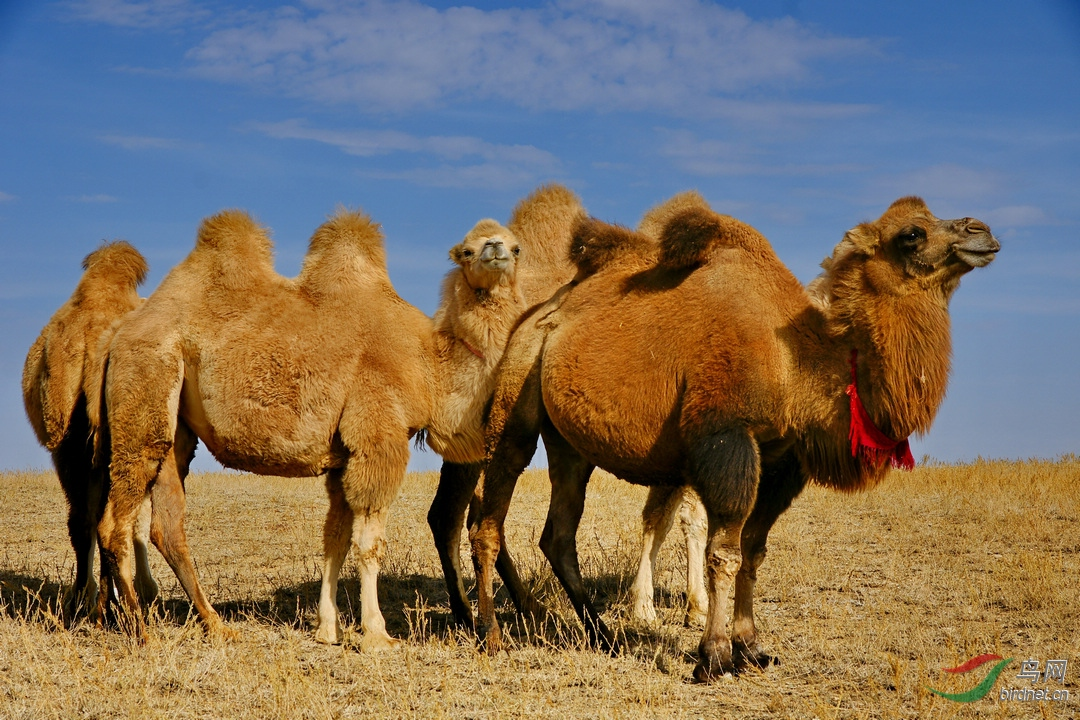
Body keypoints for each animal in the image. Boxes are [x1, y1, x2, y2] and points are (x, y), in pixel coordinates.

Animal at [21, 241, 159, 621]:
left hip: (65, 442)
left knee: (83, 521)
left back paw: (85, 602)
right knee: (109, 519)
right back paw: (113, 603)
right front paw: (146, 591)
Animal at [92, 202, 570, 647]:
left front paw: (328, 629)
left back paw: (214, 624)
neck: (429, 367)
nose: (495, 251)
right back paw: (139, 628)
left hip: (177, 431)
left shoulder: (344, 456)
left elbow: (335, 539)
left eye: (516, 247)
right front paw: (376, 634)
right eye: (467, 249)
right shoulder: (378, 436)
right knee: (116, 520)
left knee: (166, 525)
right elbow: (370, 543)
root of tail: (120, 333)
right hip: (146, 386)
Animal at [468, 195, 997, 682]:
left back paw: (603, 635)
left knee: (558, 534)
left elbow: (755, 549)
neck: (797, 360)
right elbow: (724, 552)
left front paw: (752, 647)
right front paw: (716, 656)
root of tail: (538, 318)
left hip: (570, 446)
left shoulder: (782, 460)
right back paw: (492, 634)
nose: (982, 231)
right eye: (911, 234)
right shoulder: (727, 437)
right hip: (514, 410)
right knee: (488, 520)